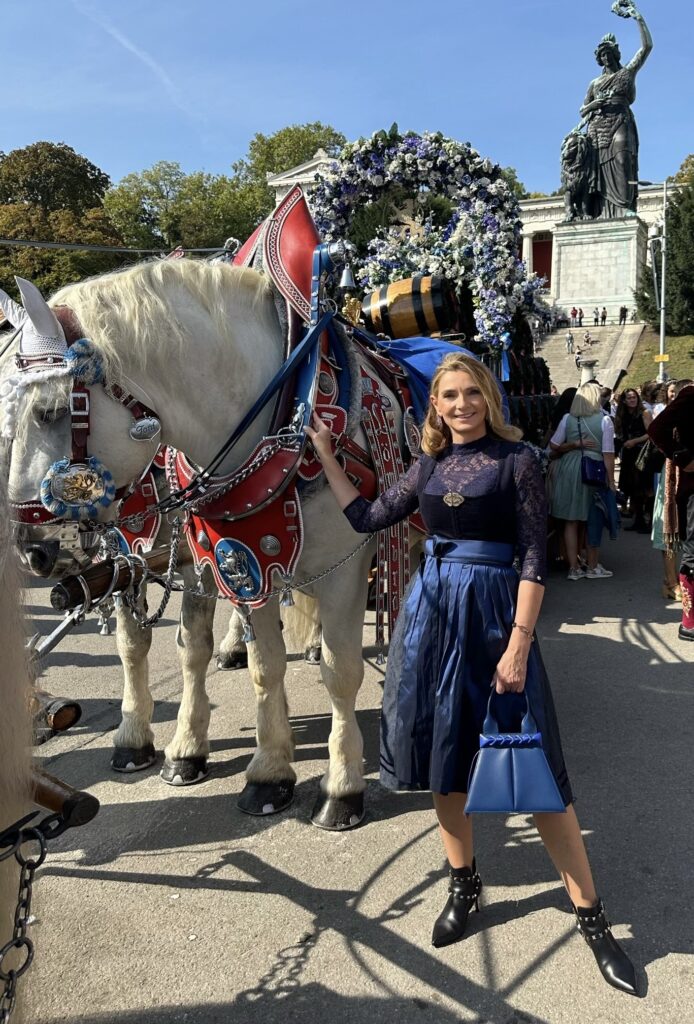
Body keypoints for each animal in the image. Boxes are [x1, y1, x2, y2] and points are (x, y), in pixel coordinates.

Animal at [2, 260, 403, 827]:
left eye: (50, 411)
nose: (32, 551)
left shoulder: (343, 568)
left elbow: (340, 672)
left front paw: (341, 788)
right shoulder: (214, 558)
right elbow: (238, 661)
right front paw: (256, 767)